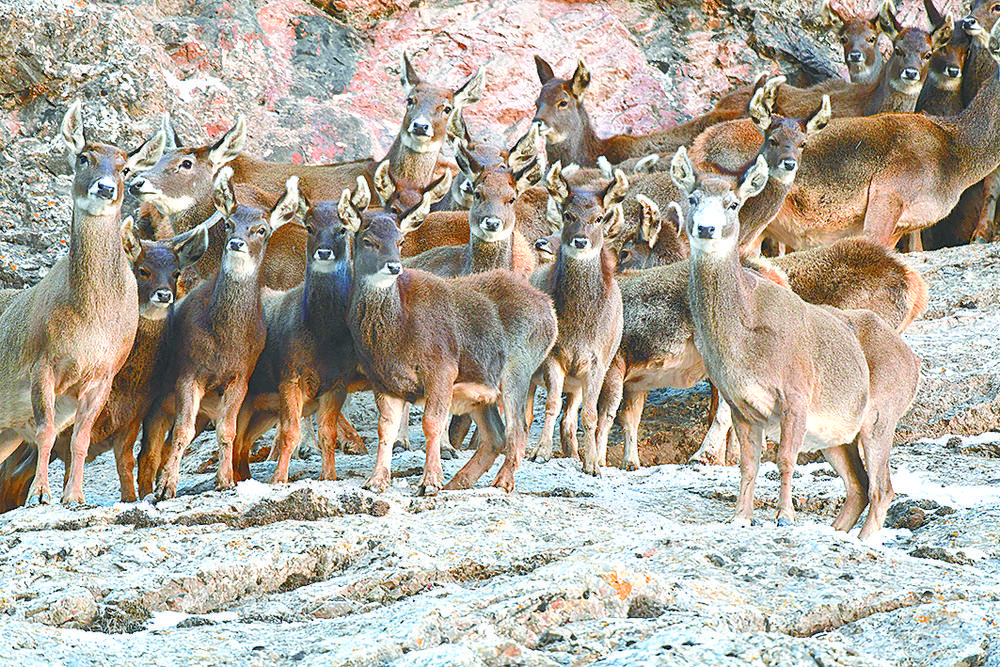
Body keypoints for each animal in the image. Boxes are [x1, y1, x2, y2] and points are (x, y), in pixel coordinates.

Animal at [0, 102, 163, 504]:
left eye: (125, 168)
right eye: (84, 157)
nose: (105, 188)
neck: (90, 320)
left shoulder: (103, 374)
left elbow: (81, 439)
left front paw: (74, 496)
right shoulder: (42, 362)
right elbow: (45, 431)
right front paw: (40, 494)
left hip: (7, 429)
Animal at [151, 168, 300, 500]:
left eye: (261, 230)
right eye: (230, 222)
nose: (236, 243)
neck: (224, 338)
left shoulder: (240, 376)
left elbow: (227, 429)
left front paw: (225, 480)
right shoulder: (189, 371)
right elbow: (182, 431)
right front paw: (167, 487)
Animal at [342, 183, 556, 496]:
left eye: (401, 241)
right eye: (368, 241)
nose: (393, 267)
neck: (396, 336)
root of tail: (550, 312)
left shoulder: (441, 367)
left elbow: (431, 423)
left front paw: (430, 481)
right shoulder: (383, 380)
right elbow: (385, 429)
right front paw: (376, 481)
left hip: (518, 368)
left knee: (518, 429)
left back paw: (501, 482)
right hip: (483, 390)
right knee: (496, 437)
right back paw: (459, 481)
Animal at [676, 147, 916, 544]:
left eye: (733, 204)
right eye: (692, 199)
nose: (705, 228)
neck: (743, 340)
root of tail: (913, 362)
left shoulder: (796, 394)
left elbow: (784, 460)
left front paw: (785, 518)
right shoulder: (740, 405)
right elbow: (748, 464)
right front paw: (740, 517)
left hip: (882, 415)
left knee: (883, 488)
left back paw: (865, 539)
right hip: (836, 435)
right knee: (858, 485)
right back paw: (838, 533)